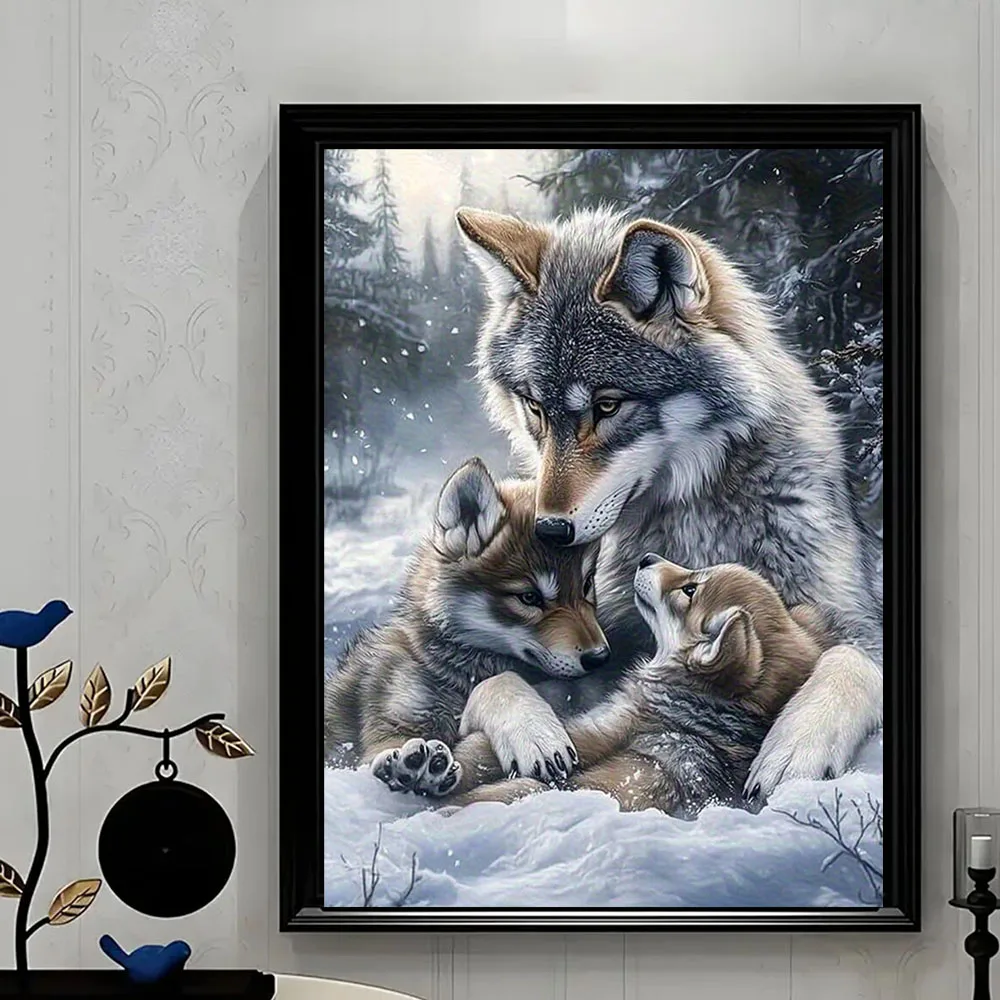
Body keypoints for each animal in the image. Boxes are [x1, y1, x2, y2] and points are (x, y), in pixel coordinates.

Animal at [324, 457, 607, 796]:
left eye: (586, 585)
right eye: (529, 597)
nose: (600, 657)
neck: (458, 674)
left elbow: (499, 683)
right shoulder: (386, 732)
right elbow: (500, 682)